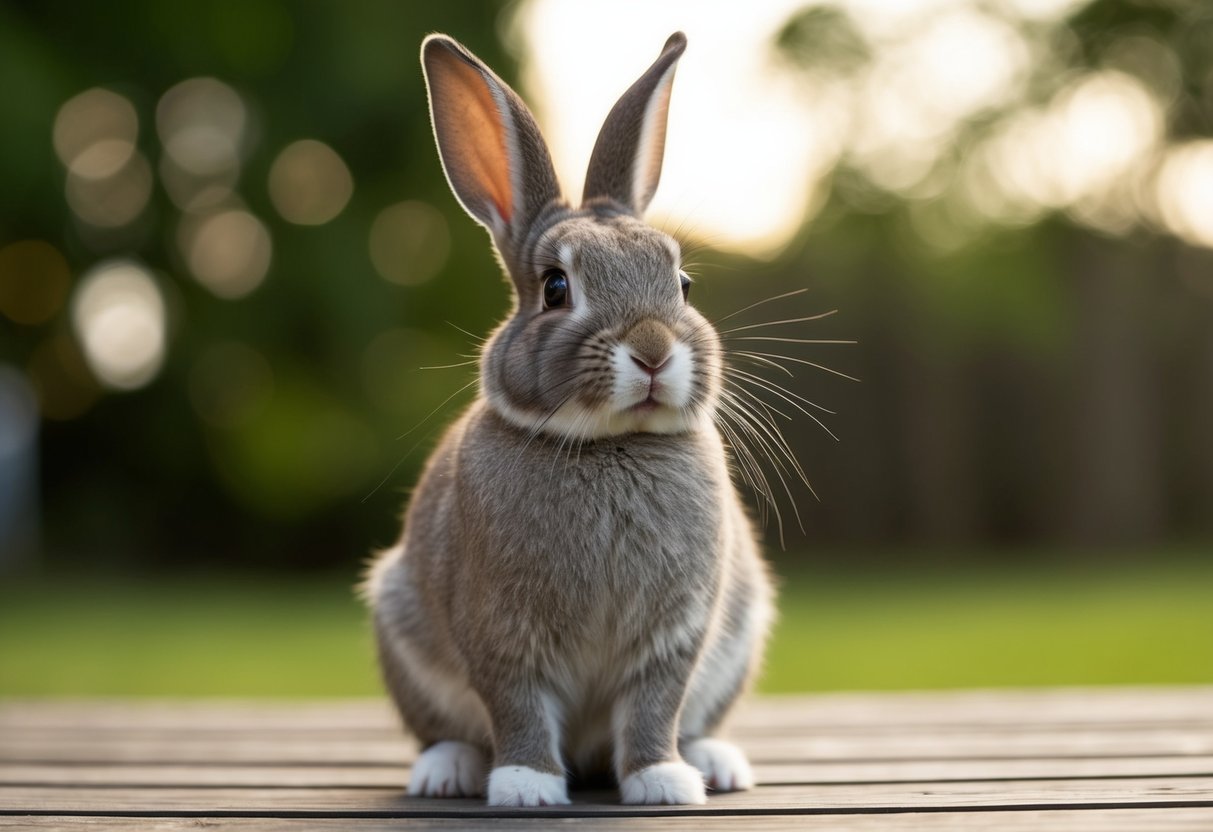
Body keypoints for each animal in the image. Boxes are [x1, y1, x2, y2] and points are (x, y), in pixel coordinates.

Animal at [363, 31, 774, 807]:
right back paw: (448, 770)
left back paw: (714, 762)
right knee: (445, 730)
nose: (652, 349)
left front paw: (662, 782)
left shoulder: (676, 635)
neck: (609, 445)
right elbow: (516, 703)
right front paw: (526, 787)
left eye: (682, 284)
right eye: (556, 288)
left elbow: (655, 706)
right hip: (399, 621)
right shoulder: (500, 633)